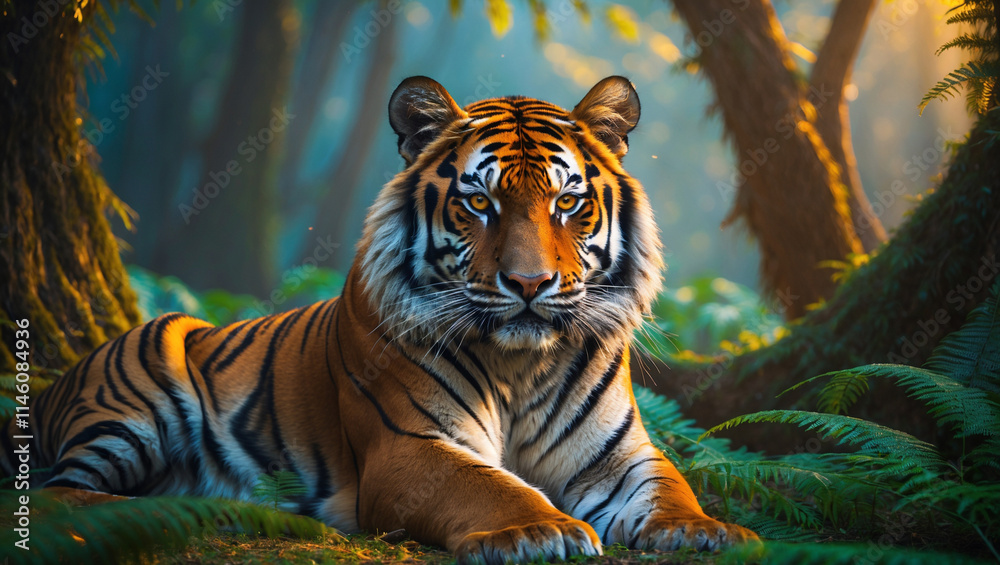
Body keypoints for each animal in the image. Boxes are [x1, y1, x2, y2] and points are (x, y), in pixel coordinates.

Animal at [1, 76, 757, 563]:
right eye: (479, 203)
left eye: (567, 203)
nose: (529, 284)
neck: (518, 364)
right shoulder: (411, 447)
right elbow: (489, 485)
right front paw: (542, 530)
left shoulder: (620, 455)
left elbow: (671, 486)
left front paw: (708, 530)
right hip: (144, 382)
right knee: (59, 491)